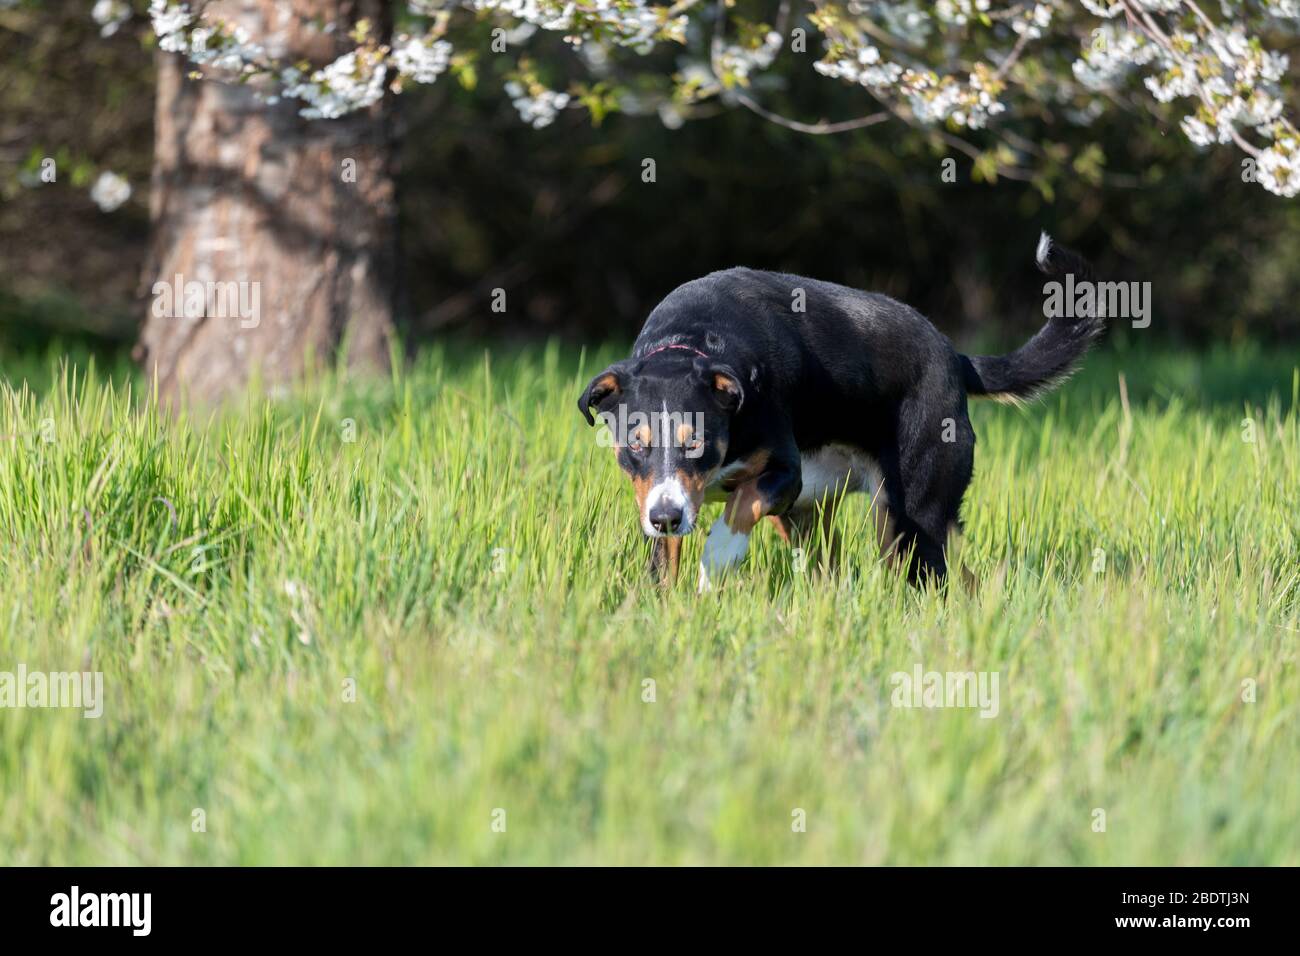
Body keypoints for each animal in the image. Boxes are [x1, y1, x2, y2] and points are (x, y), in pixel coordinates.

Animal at [585, 234, 1102, 590]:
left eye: (696, 442)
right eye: (635, 445)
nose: (666, 517)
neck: (691, 341)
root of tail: (955, 358)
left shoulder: (783, 473)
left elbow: (738, 506)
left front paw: (720, 553)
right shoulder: (659, 497)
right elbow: (664, 563)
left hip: (909, 518)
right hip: (826, 519)